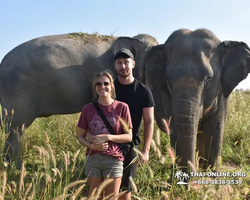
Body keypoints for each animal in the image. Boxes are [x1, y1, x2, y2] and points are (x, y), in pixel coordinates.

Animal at [141, 28, 250, 173]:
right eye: (167, 79)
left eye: (208, 79)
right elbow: (175, 128)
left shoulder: (222, 93)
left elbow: (215, 127)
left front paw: (212, 174)